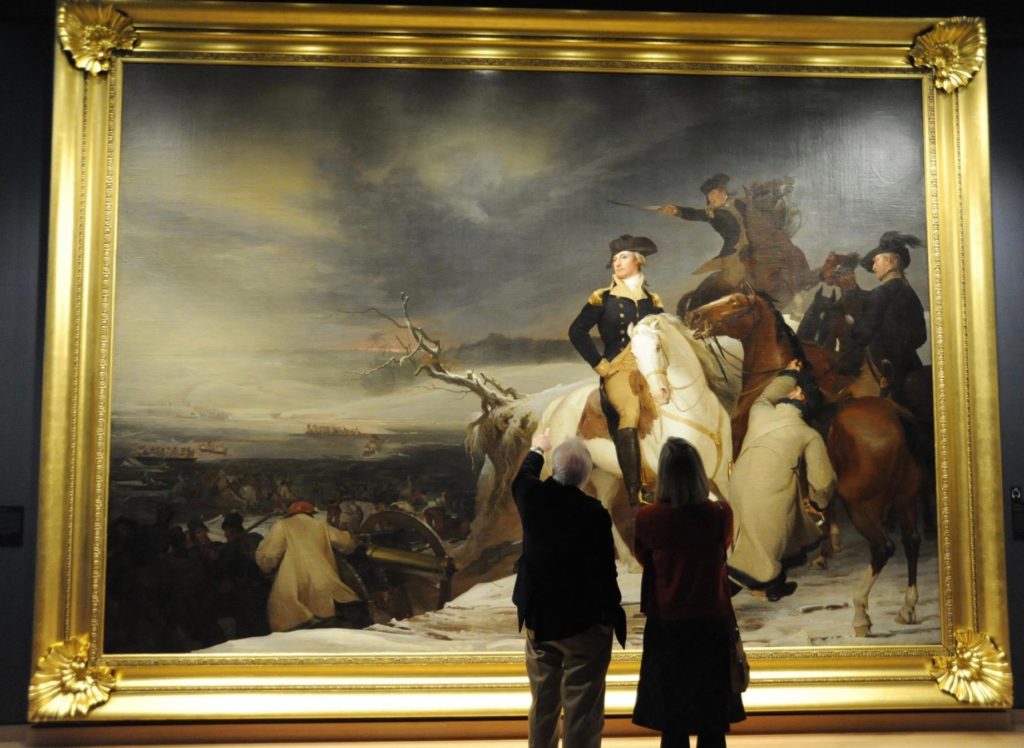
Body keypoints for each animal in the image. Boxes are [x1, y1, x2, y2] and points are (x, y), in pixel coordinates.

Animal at [540, 311, 733, 561]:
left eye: (658, 347)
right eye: (634, 354)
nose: (660, 394)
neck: (694, 410)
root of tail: (558, 406)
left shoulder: (724, 476)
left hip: (606, 475)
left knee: (604, 506)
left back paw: (629, 560)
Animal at [684, 288, 925, 631]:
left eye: (734, 302)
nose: (693, 316)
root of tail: (897, 415)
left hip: (863, 505)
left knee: (884, 547)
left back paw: (860, 612)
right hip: (906, 498)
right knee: (911, 541)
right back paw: (907, 607)